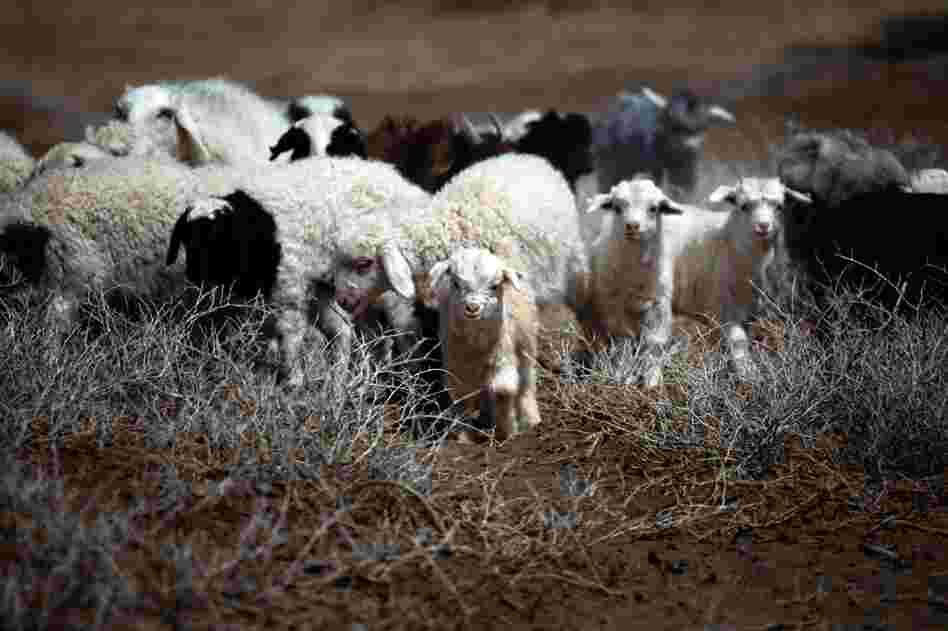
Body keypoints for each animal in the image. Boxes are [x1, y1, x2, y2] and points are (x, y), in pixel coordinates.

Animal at [165, 156, 432, 386]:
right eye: (186, 239)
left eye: (218, 239)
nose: (194, 274)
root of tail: (404, 184)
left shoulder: (290, 285)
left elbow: (291, 333)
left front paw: (293, 379)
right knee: (369, 332)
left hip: (388, 286)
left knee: (407, 329)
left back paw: (409, 378)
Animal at [428, 247, 541, 441]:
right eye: (456, 283)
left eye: (494, 286)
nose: (472, 307)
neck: (477, 344)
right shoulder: (457, 365)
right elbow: (462, 397)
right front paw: (463, 437)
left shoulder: (502, 355)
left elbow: (503, 390)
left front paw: (506, 432)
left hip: (526, 347)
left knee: (526, 383)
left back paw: (531, 421)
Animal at [593, 86, 735, 200]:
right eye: (672, 120)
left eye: (702, 124)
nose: (689, 144)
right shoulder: (653, 168)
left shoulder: (686, 168)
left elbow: (682, 189)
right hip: (608, 162)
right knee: (606, 182)